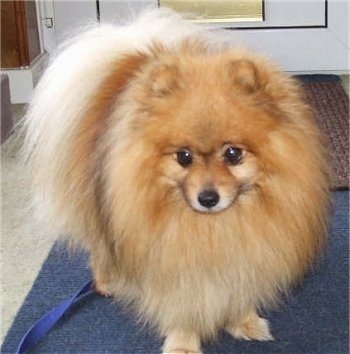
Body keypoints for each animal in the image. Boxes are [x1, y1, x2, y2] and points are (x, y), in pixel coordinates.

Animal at [23, 8, 330, 354]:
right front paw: (183, 343)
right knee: (99, 245)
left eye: (233, 154)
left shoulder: (247, 254)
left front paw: (243, 321)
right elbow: (181, 303)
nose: (207, 197)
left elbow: (239, 287)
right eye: (183, 157)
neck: (215, 227)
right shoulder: (167, 259)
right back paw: (106, 280)